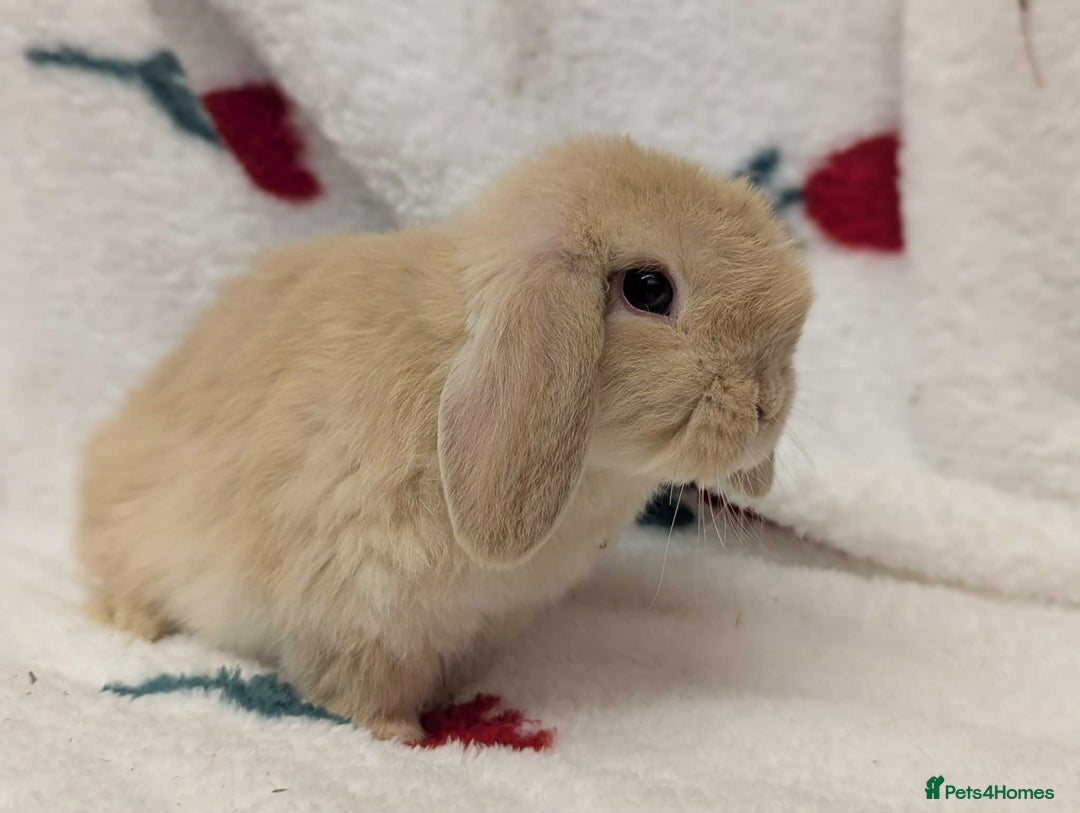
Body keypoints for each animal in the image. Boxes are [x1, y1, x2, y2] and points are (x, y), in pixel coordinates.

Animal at [77, 135, 812, 742]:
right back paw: (133, 622)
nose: (766, 406)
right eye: (650, 288)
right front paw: (402, 733)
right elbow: (358, 685)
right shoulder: (356, 611)